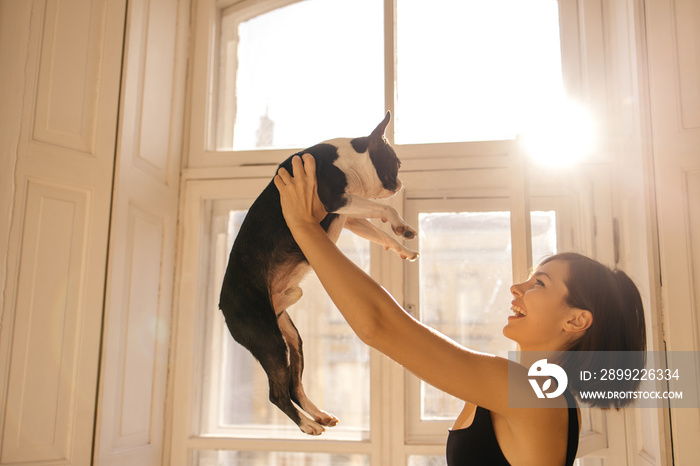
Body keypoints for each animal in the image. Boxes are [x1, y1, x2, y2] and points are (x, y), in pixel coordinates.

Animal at [219, 112, 416, 434]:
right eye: (396, 163)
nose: (399, 182)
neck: (349, 159)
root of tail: (223, 305)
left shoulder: (348, 216)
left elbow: (377, 230)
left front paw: (402, 244)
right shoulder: (336, 200)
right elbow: (383, 208)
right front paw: (399, 223)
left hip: (290, 337)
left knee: (294, 385)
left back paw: (319, 415)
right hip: (269, 339)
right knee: (277, 393)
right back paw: (307, 425)